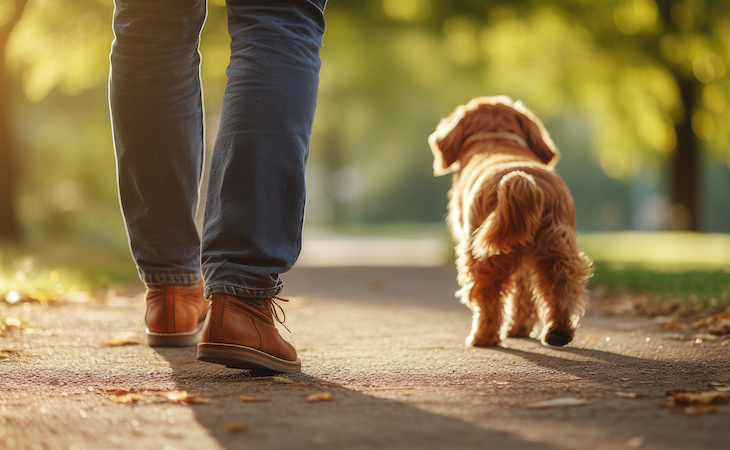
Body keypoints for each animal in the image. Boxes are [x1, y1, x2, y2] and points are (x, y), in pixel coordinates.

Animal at [426, 96, 592, 346]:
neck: (496, 137)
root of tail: (522, 180)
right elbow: (524, 296)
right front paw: (519, 328)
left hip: (483, 257)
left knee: (487, 300)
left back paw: (482, 337)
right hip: (556, 250)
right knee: (561, 288)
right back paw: (557, 333)